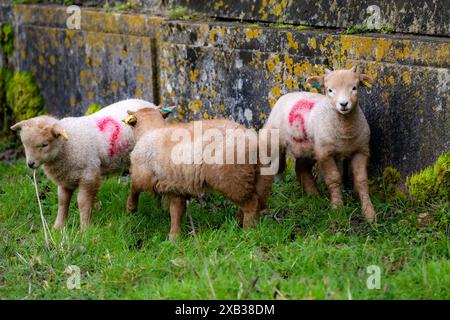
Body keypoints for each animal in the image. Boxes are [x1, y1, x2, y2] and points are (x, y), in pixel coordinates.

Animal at [10, 99, 156, 229]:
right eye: (24, 144)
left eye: (45, 144)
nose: (30, 164)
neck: (67, 145)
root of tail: (149, 104)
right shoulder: (65, 179)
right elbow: (62, 202)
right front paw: (58, 227)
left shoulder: (89, 176)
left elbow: (83, 202)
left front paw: (85, 228)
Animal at [122, 107, 270, 240]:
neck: (150, 130)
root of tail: (254, 141)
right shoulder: (176, 187)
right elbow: (176, 212)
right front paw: (174, 238)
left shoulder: (142, 175)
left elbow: (134, 188)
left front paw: (130, 209)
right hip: (249, 177)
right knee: (254, 201)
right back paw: (236, 223)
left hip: (232, 179)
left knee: (252, 204)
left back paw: (248, 231)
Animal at [264, 67, 376, 222]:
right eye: (330, 90)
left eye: (355, 87)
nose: (343, 104)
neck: (345, 131)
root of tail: (288, 94)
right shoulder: (325, 153)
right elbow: (334, 179)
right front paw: (337, 208)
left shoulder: (361, 150)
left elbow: (362, 181)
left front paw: (369, 213)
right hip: (274, 140)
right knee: (276, 164)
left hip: (309, 148)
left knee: (302, 168)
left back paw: (313, 196)